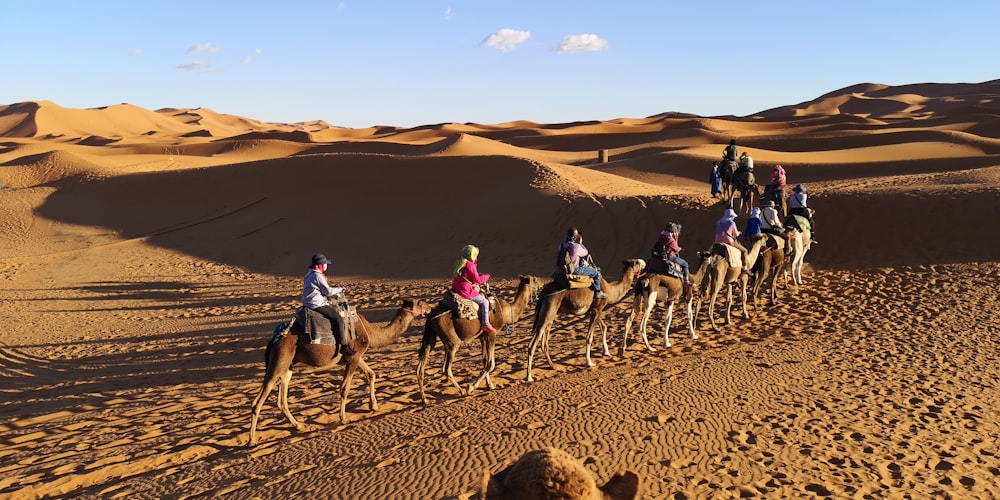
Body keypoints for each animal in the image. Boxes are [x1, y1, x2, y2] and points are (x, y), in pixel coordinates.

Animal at [248, 296, 432, 446]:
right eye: (420, 303)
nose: (430, 308)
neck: (369, 330)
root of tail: (275, 338)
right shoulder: (352, 357)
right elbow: (344, 388)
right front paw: (343, 418)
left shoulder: (356, 355)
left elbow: (371, 374)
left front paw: (374, 406)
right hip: (279, 361)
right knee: (258, 401)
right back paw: (252, 440)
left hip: (287, 366)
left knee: (282, 400)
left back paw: (300, 425)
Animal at [416, 276, 544, 404]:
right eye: (535, 280)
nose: (543, 283)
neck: (505, 311)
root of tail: (431, 314)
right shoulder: (492, 334)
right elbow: (491, 364)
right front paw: (471, 387)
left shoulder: (483, 337)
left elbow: (484, 360)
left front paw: (489, 385)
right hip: (452, 341)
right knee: (446, 368)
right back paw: (462, 392)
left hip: (431, 339)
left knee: (421, 367)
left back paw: (425, 399)